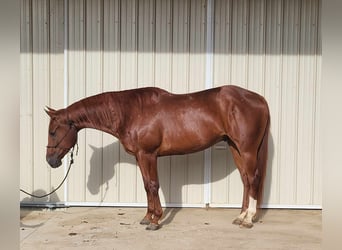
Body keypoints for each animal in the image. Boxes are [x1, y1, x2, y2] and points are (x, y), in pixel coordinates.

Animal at [45, 85, 270, 229]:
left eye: (53, 132)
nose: (50, 161)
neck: (130, 112)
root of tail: (259, 99)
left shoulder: (149, 155)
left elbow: (153, 185)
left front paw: (155, 220)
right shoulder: (140, 157)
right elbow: (147, 185)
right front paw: (147, 217)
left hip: (247, 149)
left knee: (253, 179)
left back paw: (248, 219)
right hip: (234, 147)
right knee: (245, 180)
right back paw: (240, 216)